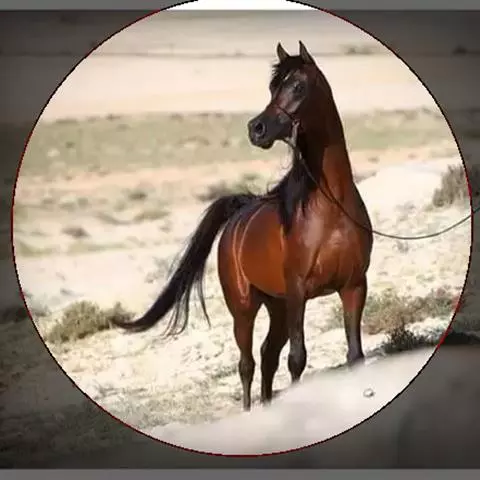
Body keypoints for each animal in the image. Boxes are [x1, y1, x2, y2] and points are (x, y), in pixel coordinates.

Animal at [112, 41, 374, 412]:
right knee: (248, 363)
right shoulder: (299, 293)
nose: (256, 129)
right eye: (272, 88)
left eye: (298, 86)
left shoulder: (353, 287)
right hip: (245, 308)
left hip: (277, 305)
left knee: (267, 355)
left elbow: (354, 355)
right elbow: (298, 359)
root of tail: (238, 216)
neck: (331, 208)